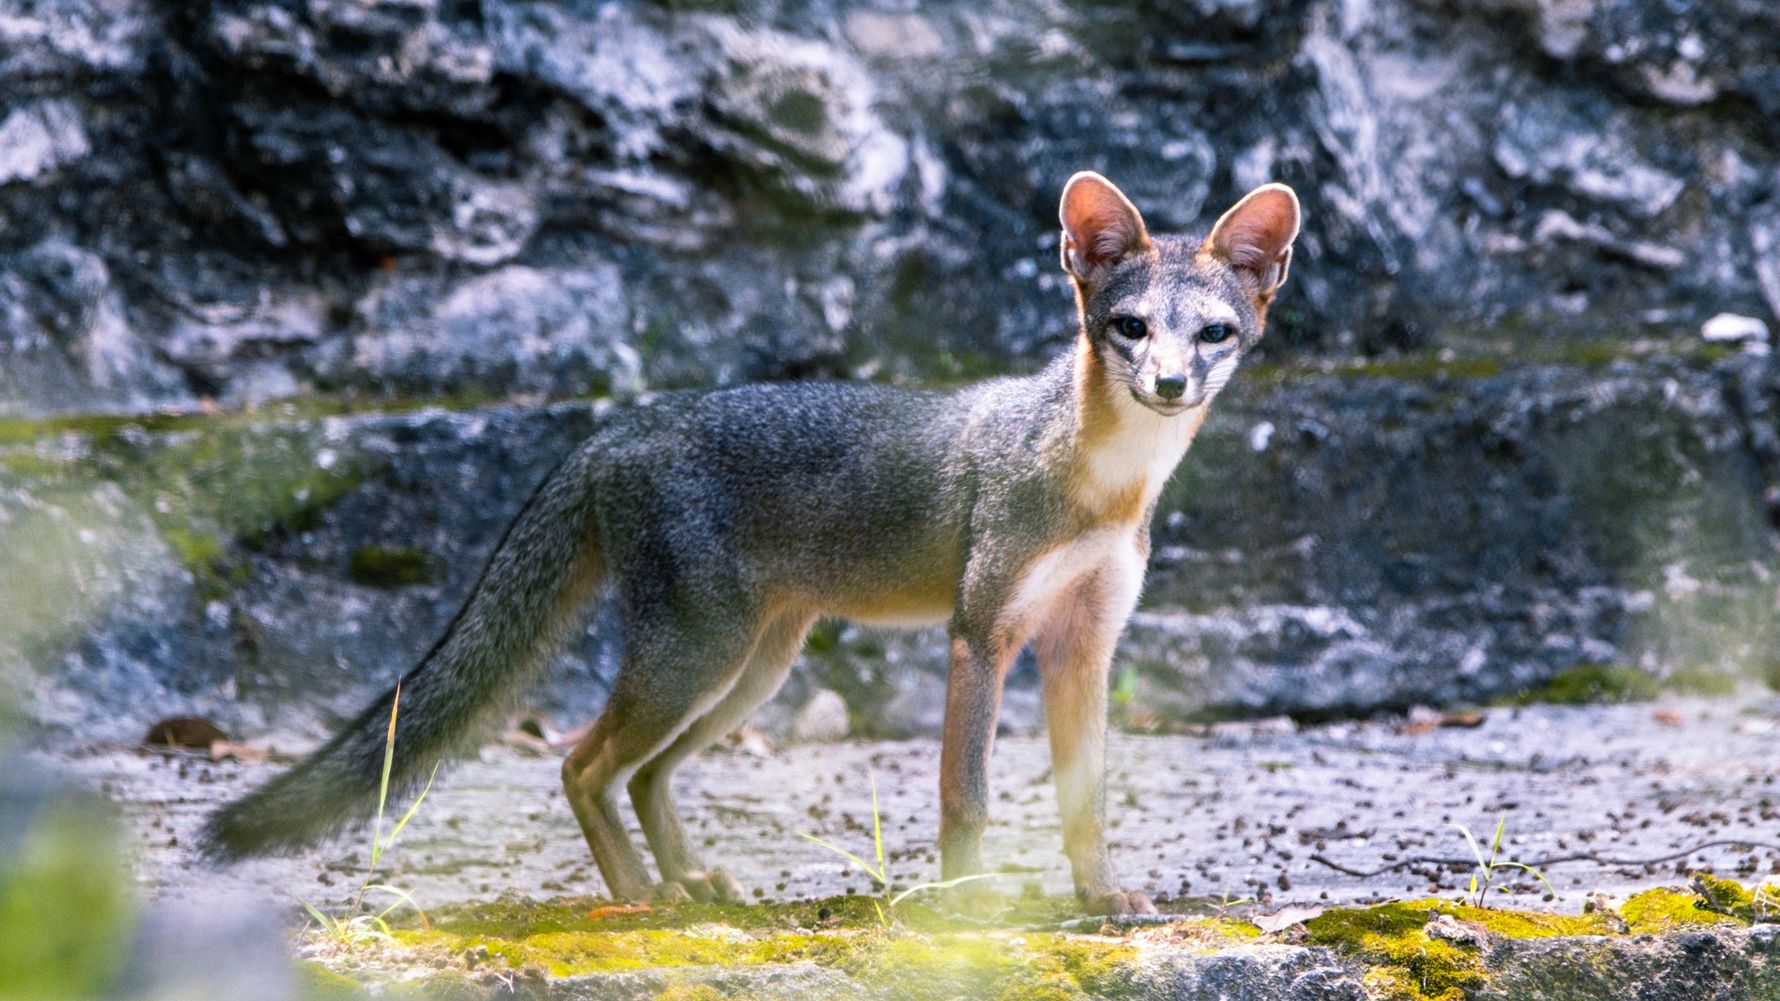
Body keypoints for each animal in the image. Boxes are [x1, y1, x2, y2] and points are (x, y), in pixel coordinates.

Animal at [201, 172, 1301, 916]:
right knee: (582, 764)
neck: (1101, 484)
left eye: (1212, 333)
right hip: (699, 661)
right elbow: (967, 795)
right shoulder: (981, 633)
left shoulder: (1084, 643)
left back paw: (688, 877)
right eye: (1128, 327)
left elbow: (1086, 799)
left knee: (642, 774)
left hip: (748, 671)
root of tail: (615, 428)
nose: (1169, 383)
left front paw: (1102, 895)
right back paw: (644, 896)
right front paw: (966, 906)